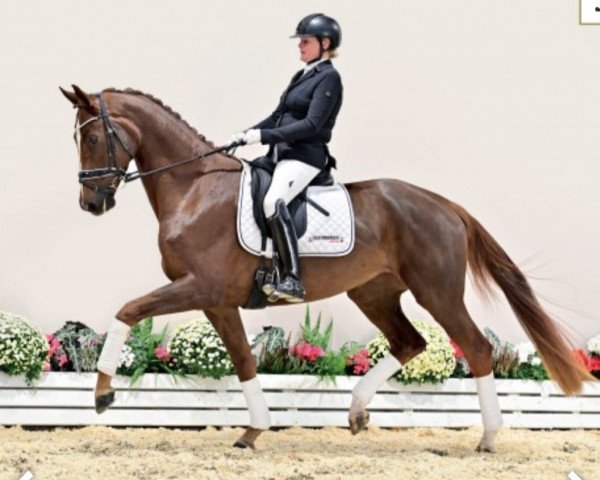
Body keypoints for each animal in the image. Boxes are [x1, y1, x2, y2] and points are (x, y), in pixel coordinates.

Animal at [58, 85, 592, 450]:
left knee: (476, 347)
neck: (193, 188)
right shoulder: (218, 301)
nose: (90, 203)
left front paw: (102, 393)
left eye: (92, 138)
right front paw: (254, 431)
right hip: (373, 291)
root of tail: (444, 204)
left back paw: (488, 437)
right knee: (410, 343)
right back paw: (356, 413)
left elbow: (128, 311)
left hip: (436, 291)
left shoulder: (201, 288)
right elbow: (245, 360)